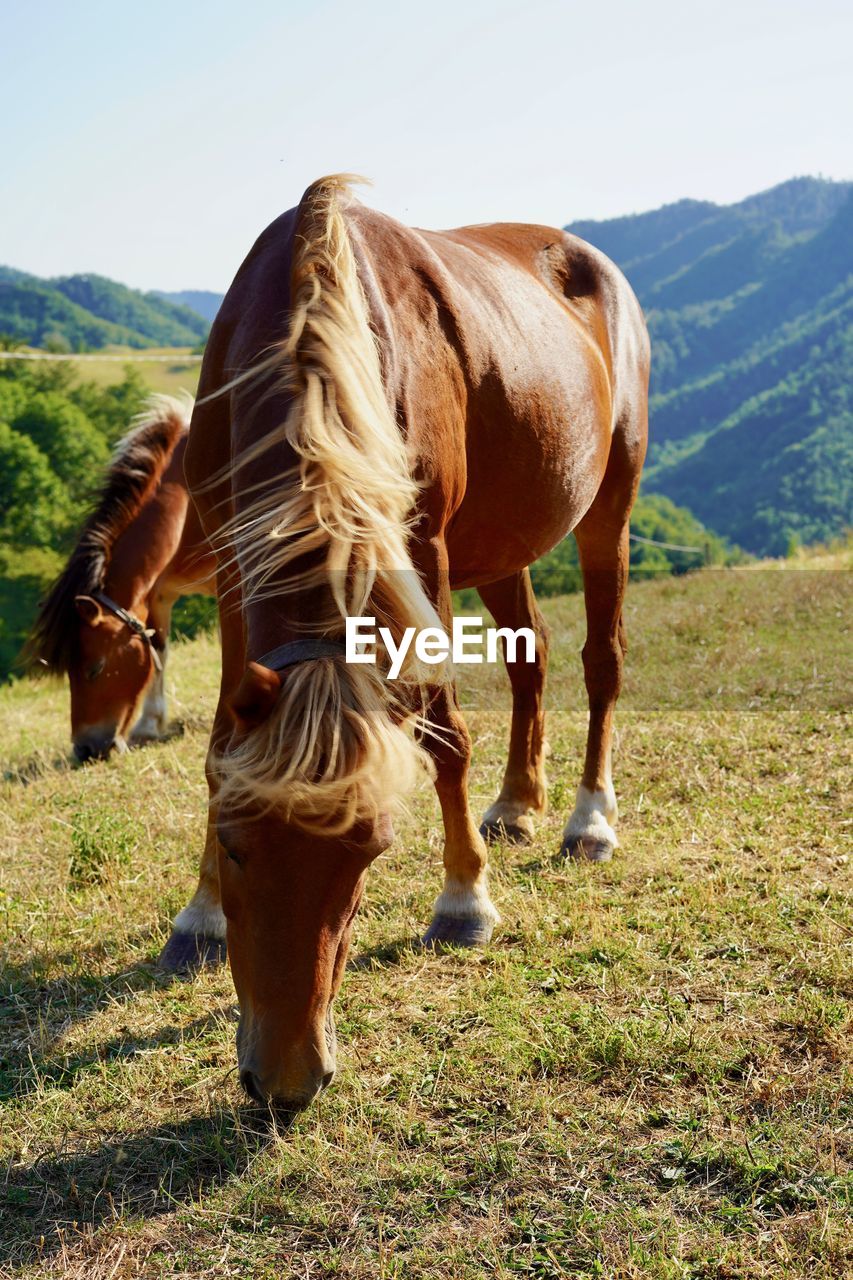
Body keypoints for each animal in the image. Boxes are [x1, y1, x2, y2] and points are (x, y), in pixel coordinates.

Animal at [161, 172, 645, 1111]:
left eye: (370, 852)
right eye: (234, 845)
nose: (286, 1082)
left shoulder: (420, 550)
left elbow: (443, 732)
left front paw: (462, 900)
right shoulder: (235, 559)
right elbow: (218, 744)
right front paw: (197, 914)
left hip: (610, 499)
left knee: (599, 661)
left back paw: (586, 818)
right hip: (504, 541)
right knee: (529, 657)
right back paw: (517, 803)